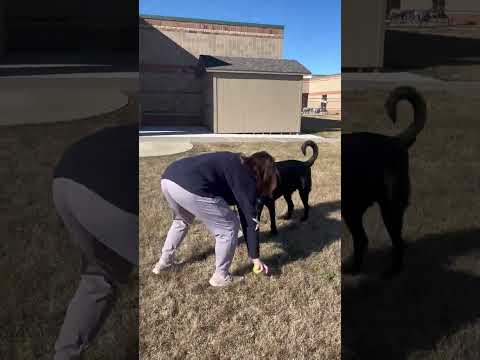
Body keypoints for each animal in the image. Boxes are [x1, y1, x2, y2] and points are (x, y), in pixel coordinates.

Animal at [344, 86, 426, 274]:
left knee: (397, 243)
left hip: (390, 208)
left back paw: (392, 270)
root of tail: (395, 141)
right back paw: (354, 267)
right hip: (354, 209)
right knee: (362, 240)